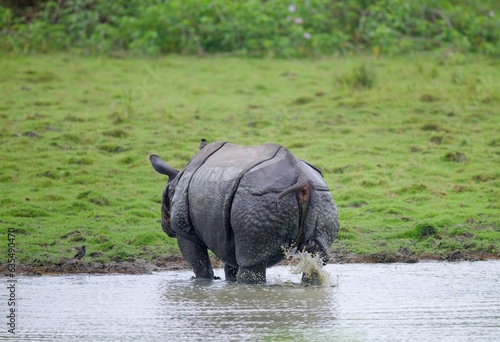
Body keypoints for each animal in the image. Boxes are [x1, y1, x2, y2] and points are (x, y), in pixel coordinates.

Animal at [148, 142, 340, 284]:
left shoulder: (184, 229)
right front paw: (228, 282)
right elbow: (231, 261)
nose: (165, 227)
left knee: (252, 264)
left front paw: (201, 281)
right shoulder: (227, 231)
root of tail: (301, 176)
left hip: (258, 200)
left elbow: (198, 262)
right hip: (322, 197)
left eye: (165, 205)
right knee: (316, 257)